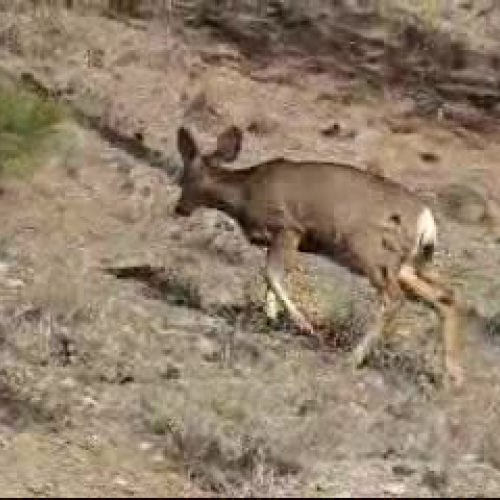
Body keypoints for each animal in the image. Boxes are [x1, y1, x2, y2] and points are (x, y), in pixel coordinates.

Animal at [174, 124, 466, 386]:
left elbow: (271, 274)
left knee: (394, 298)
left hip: (371, 250)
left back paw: (353, 358)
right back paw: (452, 376)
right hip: (406, 265)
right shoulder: (278, 238)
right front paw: (270, 318)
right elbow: (269, 278)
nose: (179, 208)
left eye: (184, 178)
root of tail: (426, 221)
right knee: (445, 297)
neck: (245, 194)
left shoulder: (289, 227)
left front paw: (303, 324)